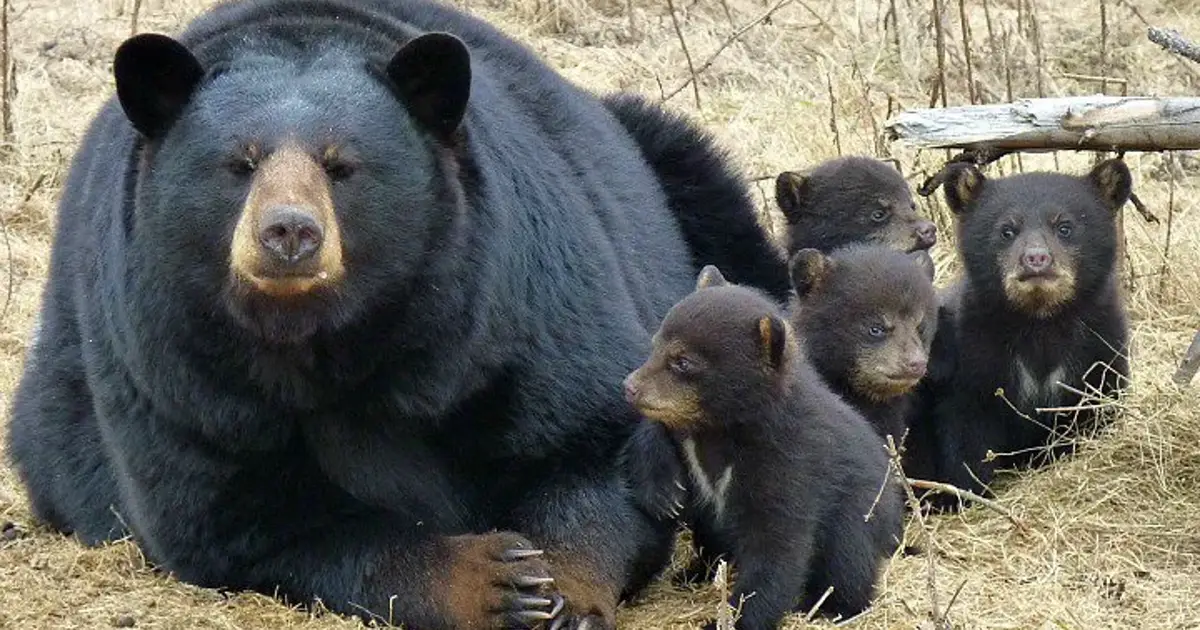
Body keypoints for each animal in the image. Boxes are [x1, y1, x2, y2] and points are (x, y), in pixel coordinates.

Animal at [2, 2, 787, 624]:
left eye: (340, 164)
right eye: (241, 163)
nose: (289, 233)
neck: (328, 338)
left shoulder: (512, 302)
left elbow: (597, 446)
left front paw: (558, 590)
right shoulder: (176, 366)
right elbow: (242, 516)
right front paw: (492, 582)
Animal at [912, 159, 1128, 504]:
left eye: (1065, 226)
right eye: (1007, 230)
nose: (1036, 259)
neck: (1039, 321)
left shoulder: (1101, 345)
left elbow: (1096, 403)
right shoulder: (973, 353)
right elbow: (966, 426)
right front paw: (967, 491)